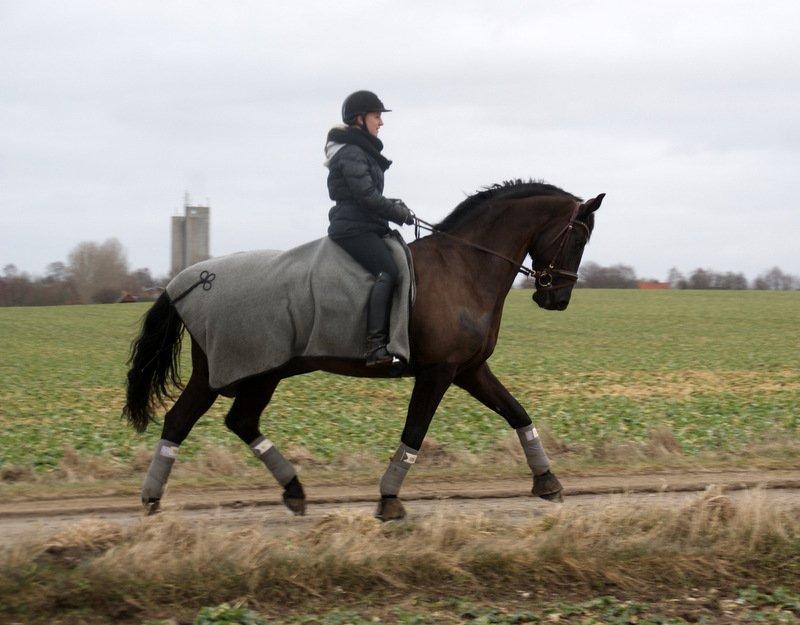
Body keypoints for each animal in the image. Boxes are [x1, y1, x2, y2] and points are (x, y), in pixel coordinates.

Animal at [122, 183, 604, 520]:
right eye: (578, 239)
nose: (557, 298)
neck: (464, 265)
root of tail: (188, 280)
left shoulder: (470, 370)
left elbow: (518, 413)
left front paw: (547, 480)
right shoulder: (438, 373)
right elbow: (414, 433)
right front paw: (389, 498)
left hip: (261, 373)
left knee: (233, 421)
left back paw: (291, 491)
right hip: (232, 372)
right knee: (185, 420)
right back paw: (152, 499)